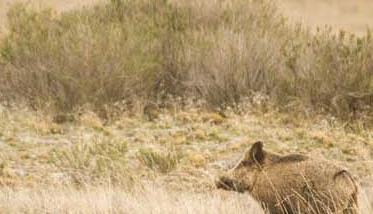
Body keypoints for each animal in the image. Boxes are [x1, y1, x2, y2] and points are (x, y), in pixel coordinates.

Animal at [217, 141, 358, 213]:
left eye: (243, 163)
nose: (218, 180)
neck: (261, 176)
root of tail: (350, 181)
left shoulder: (274, 206)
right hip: (351, 208)